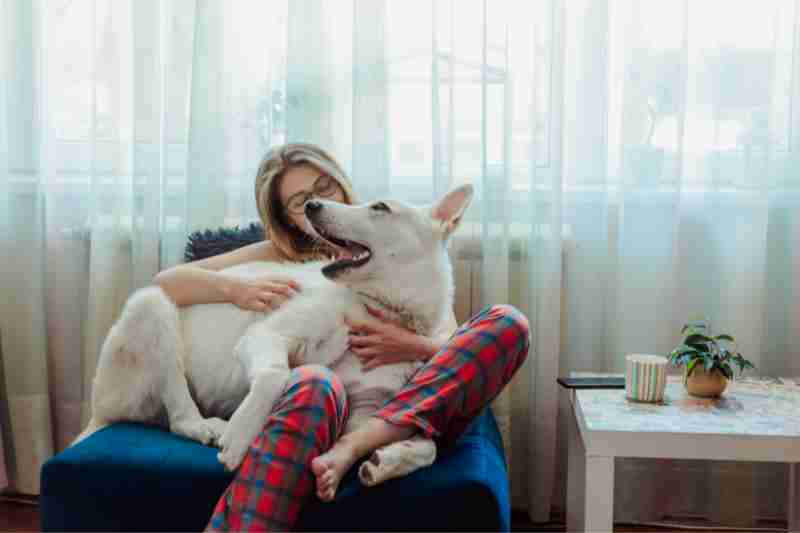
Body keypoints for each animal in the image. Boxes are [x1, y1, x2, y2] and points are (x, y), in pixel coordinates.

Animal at [72, 183, 472, 486]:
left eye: (379, 207)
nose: (311, 205)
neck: (385, 310)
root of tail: (99, 408)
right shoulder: (264, 337)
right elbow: (274, 374)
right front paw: (240, 436)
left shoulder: (365, 412)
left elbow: (427, 447)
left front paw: (385, 462)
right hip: (151, 304)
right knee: (179, 415)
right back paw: (207, 427)